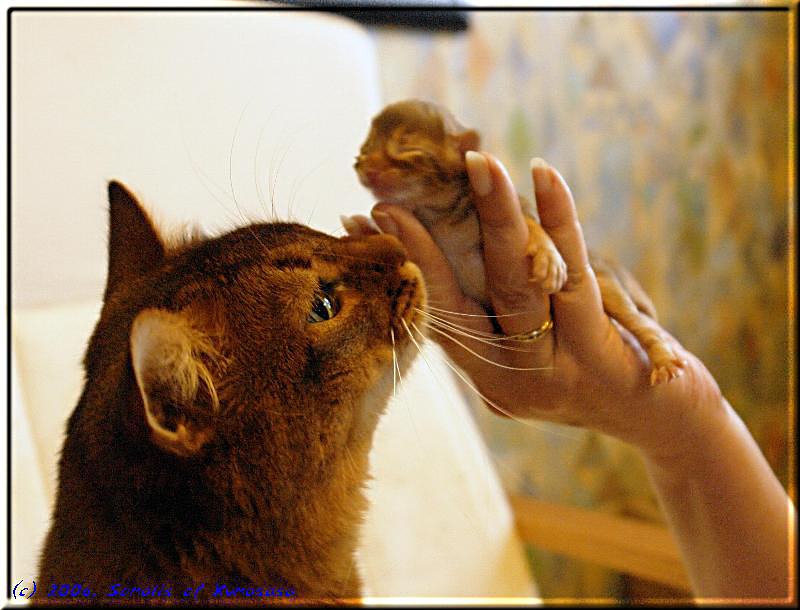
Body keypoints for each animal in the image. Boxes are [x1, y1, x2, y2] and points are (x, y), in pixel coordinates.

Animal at [356, 100, 688, 384]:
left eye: (405, 147)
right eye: (365, 148)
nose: (365, 167)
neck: (438, 216)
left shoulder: (503, 205)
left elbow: (531, 222)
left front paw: (547, 255)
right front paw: (362, 231)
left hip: (608, 285)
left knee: (640, 322)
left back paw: (662, 357)